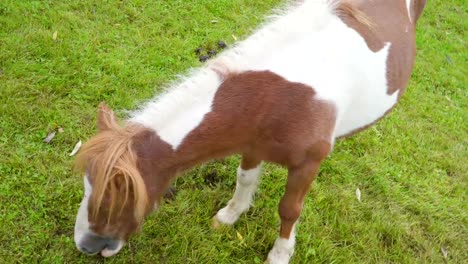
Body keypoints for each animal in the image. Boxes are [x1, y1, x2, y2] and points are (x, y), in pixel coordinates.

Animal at [72, 1, 424, 262]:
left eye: (121, 195)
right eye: (88, 185)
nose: (86, 246)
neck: (282, 98)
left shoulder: (307, 164)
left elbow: (290, 210)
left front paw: (280, 255)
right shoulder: (253, 145)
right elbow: (244, 179)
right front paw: (229, 216)